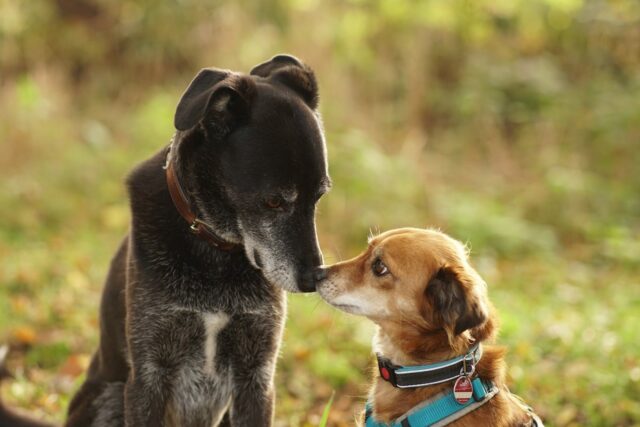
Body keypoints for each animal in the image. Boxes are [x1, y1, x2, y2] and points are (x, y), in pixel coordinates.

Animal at [3, 55, 336, 426]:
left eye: (319, 197)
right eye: (274, 201)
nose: (313, 279)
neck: (215, 250)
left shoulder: (256, 374)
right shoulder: (149, 373)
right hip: (110, 397)